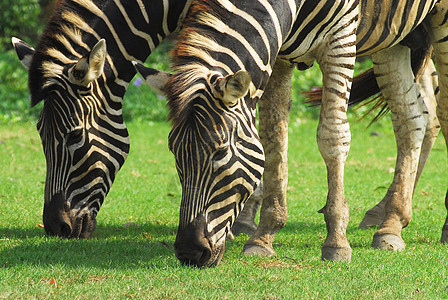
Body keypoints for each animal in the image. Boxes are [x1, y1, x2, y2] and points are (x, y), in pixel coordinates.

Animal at [134, 0, 448, 268]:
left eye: (220, 152)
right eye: (174, 152)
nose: (189, 252)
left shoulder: (340, 36)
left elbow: (332, 136)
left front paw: (336, 241)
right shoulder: (279, 51)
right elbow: (273, 137)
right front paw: (264, 235)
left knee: (440, 113)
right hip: (395, 35)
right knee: (411, 119)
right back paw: (390, 223)